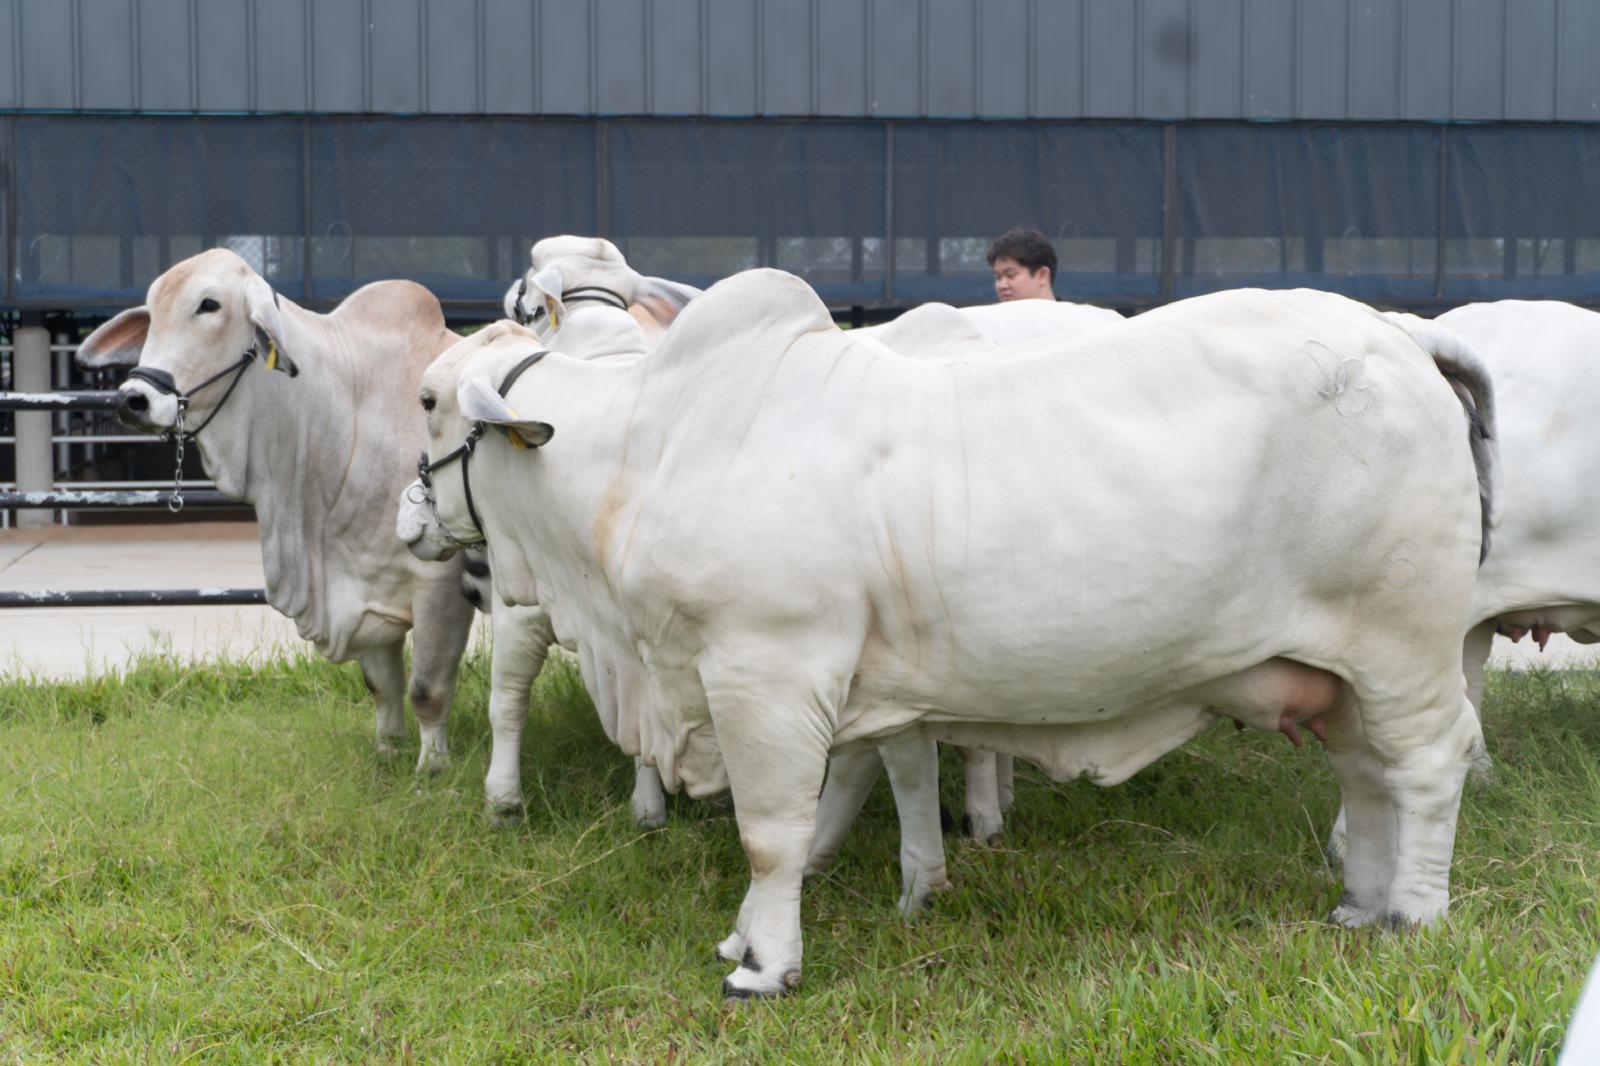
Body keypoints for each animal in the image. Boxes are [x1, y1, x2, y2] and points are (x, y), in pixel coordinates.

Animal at [75, 248, 476, 771]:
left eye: (209, 305)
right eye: (152, 312)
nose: (132, 399)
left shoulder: (440, 583)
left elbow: (427, 691)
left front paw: (431, 770)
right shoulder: (360, 584)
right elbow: (382, 686)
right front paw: (388, 753)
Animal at [415, 268, 1496, 997]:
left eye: (425, 400)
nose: (407, 518)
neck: (648, 449)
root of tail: (1401, 336)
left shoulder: (764, 675)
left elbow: (771, 834)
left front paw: (763, 964)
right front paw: (750, 937)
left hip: (1405, 644)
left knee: (1427, 764)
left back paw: (1418, 916)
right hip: (1340, 666)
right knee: (1365, 772)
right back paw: (1360, 906)